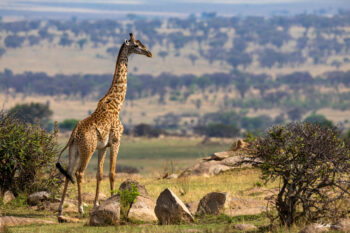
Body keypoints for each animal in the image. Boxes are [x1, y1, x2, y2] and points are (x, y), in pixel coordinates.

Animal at [56, 32, 152, 215]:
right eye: (136, 45)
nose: (149, 53)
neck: (116, 105)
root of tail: (73, 135)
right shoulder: (116, 141)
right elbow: (112, 173)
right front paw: (114, 199)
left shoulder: (102, 147)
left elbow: (100, 174)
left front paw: (97, 204)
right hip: (88, 149)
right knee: (79, 173)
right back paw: (80, 208)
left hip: (74, 151)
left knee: (69, 172)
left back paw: (60, 209)